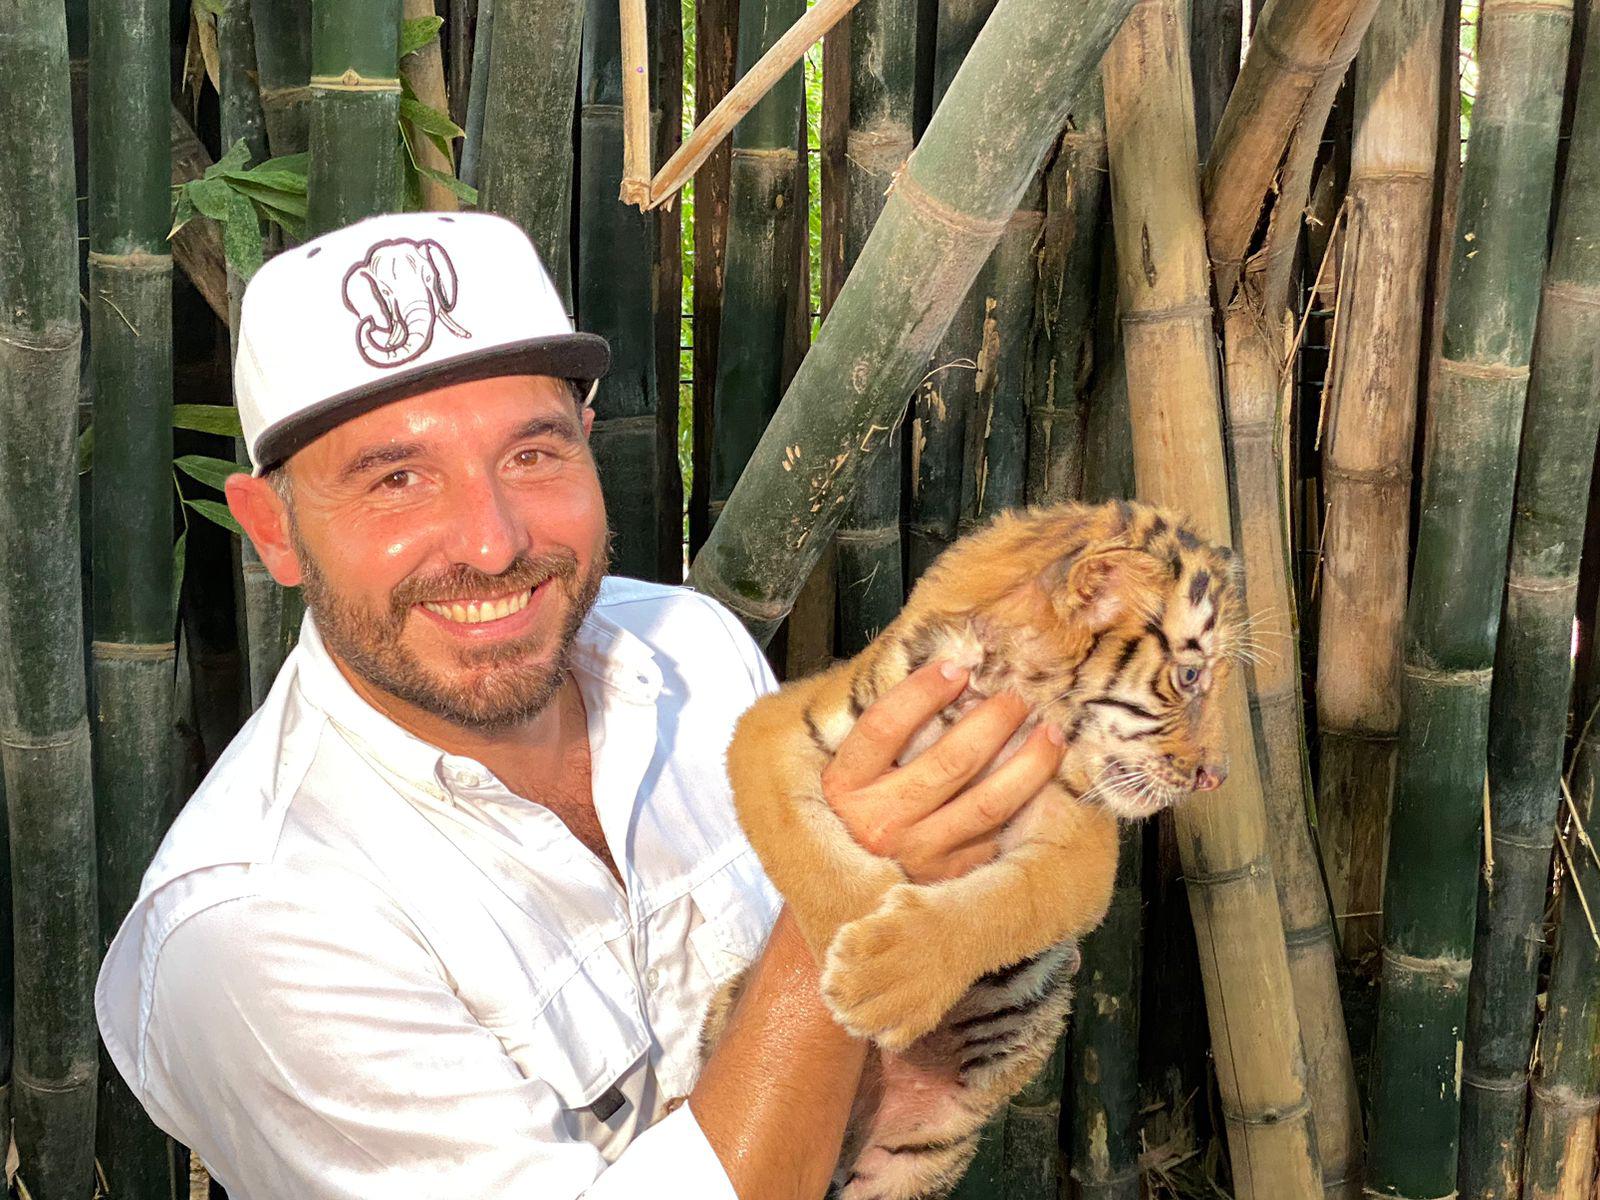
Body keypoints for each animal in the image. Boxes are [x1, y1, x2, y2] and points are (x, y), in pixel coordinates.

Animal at [702, 499, 1244, 1200]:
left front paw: (885, 977)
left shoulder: (1082, 843)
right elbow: (802, 845)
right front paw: (854, 924)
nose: (1217, 776)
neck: (999, 682)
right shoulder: (776, 724)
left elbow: (1006, 905)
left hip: (914, 1156)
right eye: (1190, 675)